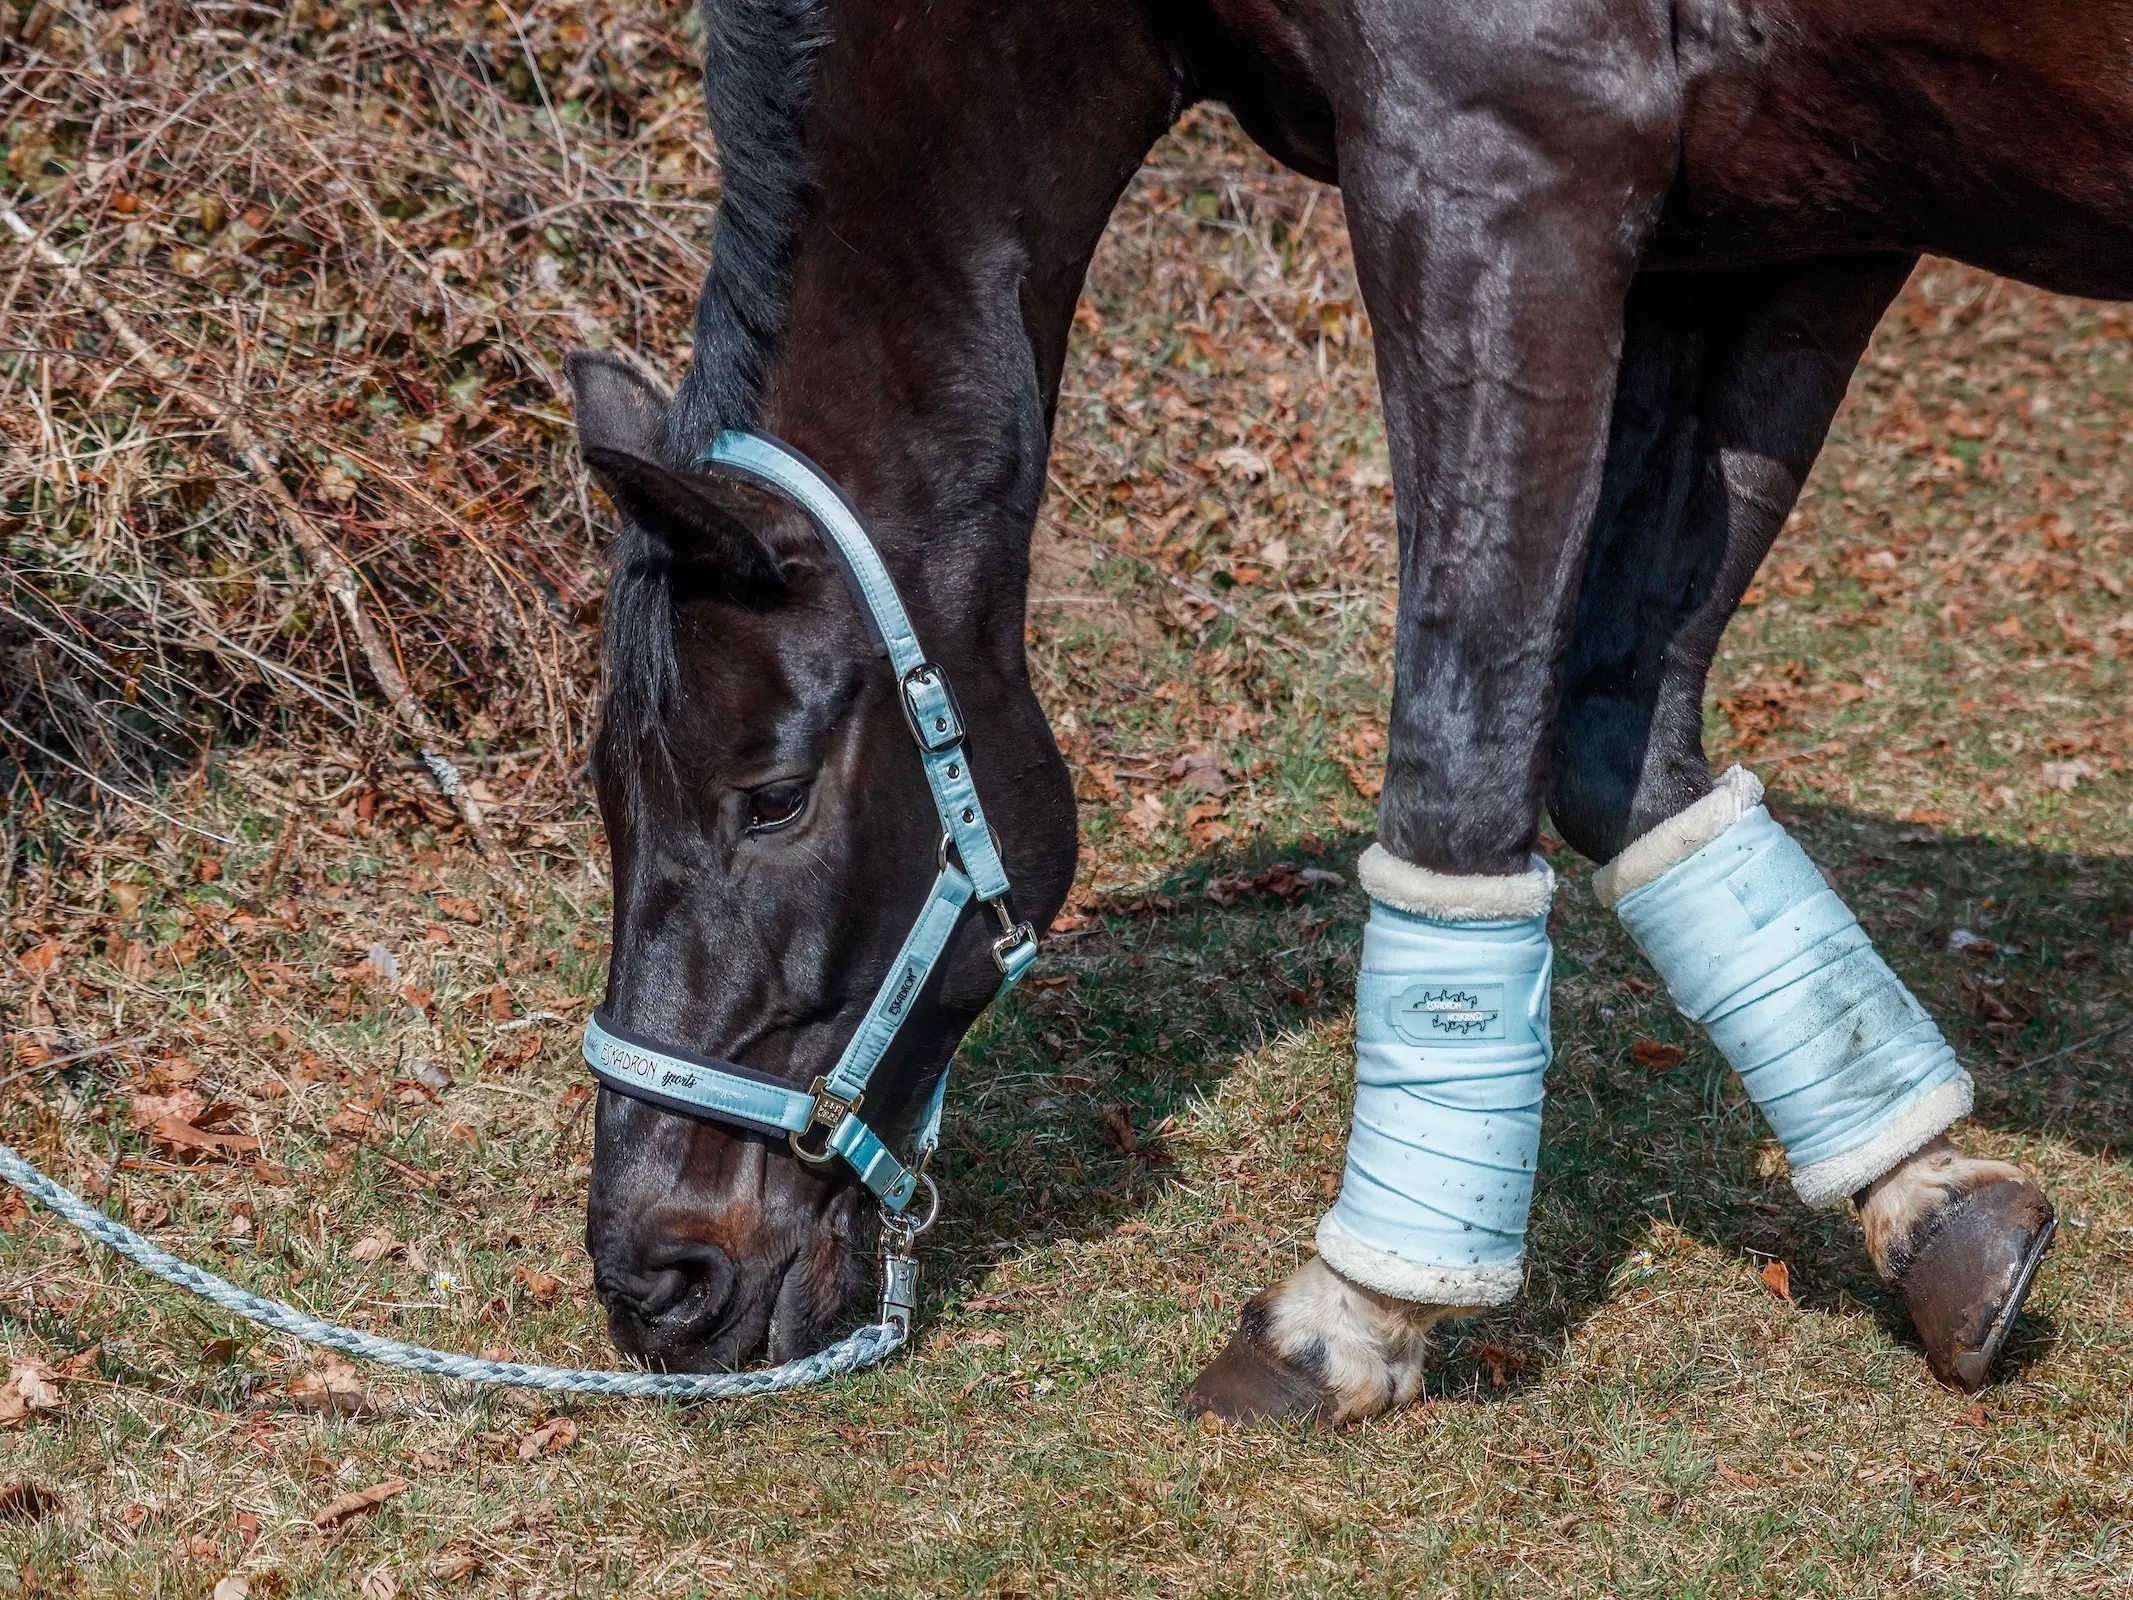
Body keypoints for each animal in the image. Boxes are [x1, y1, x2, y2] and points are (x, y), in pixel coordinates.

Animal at [563, 0, 2081, 1425]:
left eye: (771, 797)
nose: (655, 1283)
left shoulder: (1502, 176)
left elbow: (1463, 768)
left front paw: (1352, 1311)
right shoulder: (1786, 224)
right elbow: (1619, 747)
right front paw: (1929, 1201)